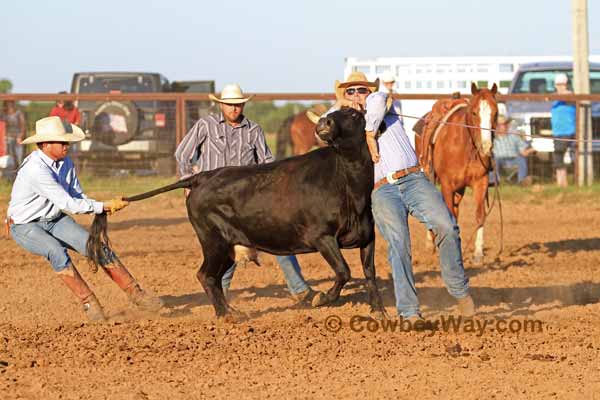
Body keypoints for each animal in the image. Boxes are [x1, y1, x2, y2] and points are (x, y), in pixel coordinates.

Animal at [414, 83, 500, 264]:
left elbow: (480, 215)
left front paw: (478, 254)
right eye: (474, 112)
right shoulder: (447, 185)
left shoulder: (480, 182)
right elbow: (448, 215)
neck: (465, 146)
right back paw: (430, 244)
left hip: (460, 189)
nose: (486, 147)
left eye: (495, 113)